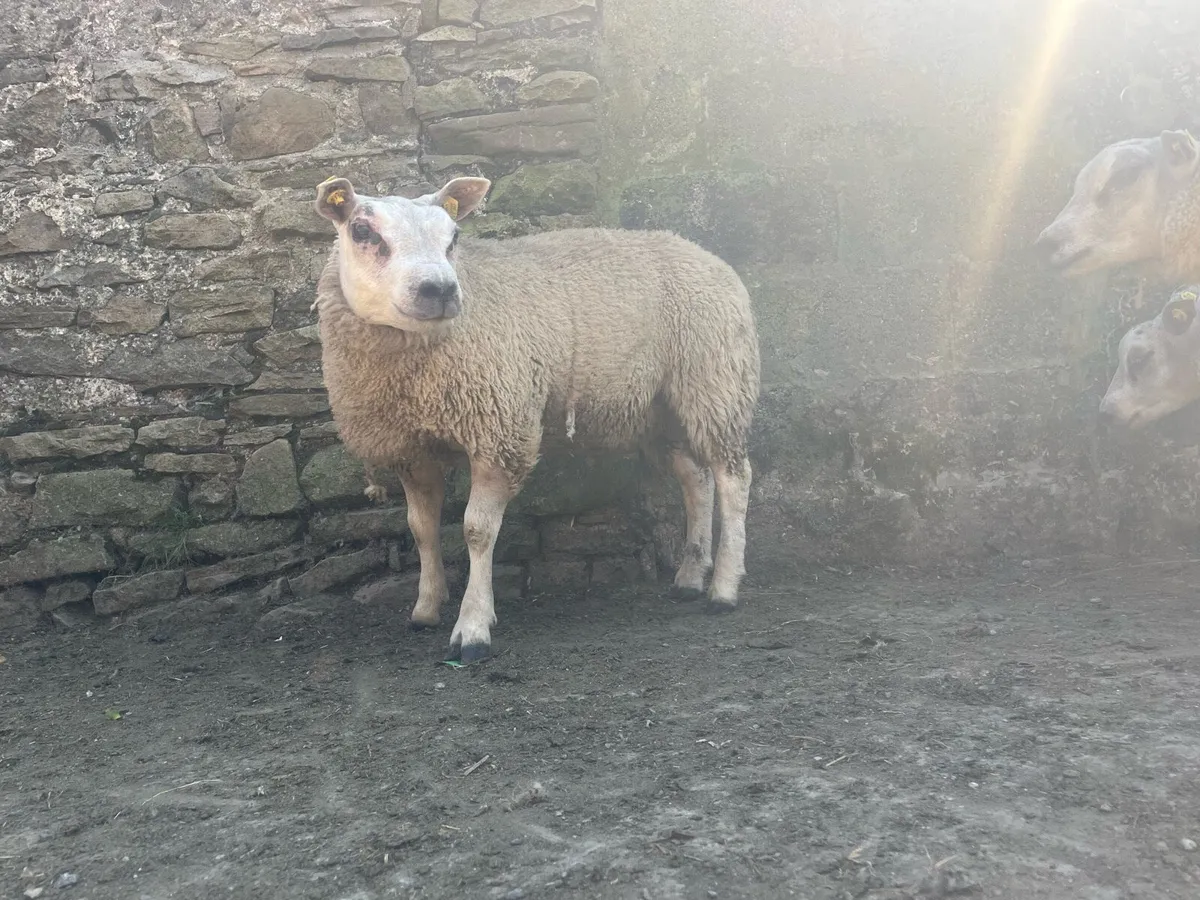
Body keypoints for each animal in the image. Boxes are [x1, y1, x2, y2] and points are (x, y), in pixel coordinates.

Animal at [311, 175, 761, 663]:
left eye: (454, 237)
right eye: (362, 231)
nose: (441, 291)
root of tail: (705, 254)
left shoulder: (499, 430)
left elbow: (476, 530)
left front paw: (473, 626)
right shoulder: (411, 448)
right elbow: (421, 528)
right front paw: (426, 607)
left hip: (715, 381)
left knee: (733, 478)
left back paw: (723, 589)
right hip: (661, 407)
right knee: (696, 479)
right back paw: (690, 578)